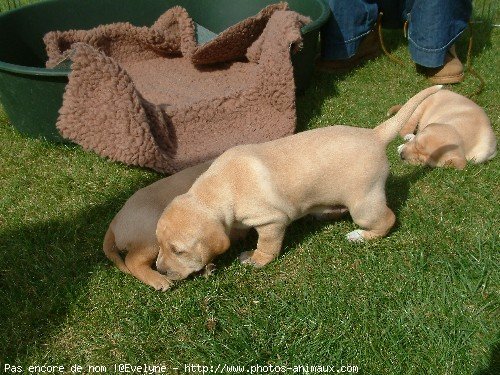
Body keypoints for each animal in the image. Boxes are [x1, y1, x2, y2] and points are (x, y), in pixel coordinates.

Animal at [155, 84, 442, 280]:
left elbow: (267, 246)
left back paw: (360, 236)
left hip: (364, 205)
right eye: (160, 245)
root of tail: (375, 135)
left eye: (179, 251)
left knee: (387, 220)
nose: (160, 270)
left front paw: (255, 259)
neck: (215, 189)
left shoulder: (271, 221)